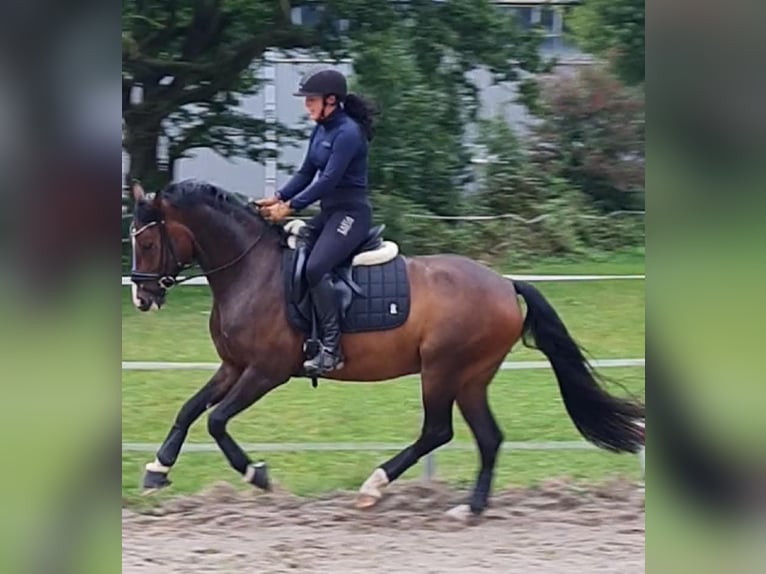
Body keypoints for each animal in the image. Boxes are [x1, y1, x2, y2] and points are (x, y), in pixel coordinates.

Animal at [129, 180, 644, 520]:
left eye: (149, 241)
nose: (142, 297)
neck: (252, 271)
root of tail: (504, 284)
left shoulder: (265, 371)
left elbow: (216, 421)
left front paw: (258, 475)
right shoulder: (234, 365)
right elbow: (189, 409)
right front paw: (157, 470)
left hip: (442, 371)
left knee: (437, 431)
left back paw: (375, 486)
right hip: (471, 378)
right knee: (488, 437)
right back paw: (471, 507)